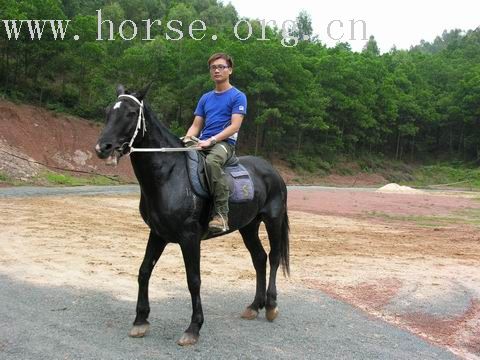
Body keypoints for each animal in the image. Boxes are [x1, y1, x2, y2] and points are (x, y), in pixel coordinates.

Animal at [94, 86, 288, 346]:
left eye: (131, 113)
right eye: (108, 111)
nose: (103, 148)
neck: (169, 175)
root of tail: (273, 171)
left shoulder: (190, 237)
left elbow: (193, 280)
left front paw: (193, 328)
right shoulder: (157, 233)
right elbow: (144, 271)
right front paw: (140, 321)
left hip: (273, 220)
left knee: (274, 257)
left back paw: (271, 305)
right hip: (248, 226)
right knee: (259, 258)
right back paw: (254, 306)